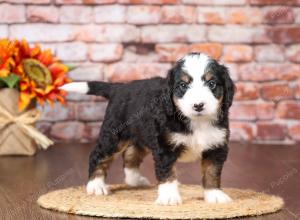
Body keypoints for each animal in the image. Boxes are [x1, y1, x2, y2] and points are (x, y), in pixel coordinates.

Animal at [60, 52, 234, 205]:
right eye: (183, 85)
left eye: (212, 84)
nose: (198, 105)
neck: (196, 122)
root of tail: (119, 88)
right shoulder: (165, 147)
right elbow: (167, 173)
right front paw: (169, 197)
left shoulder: (216, 146)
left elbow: (212, 172)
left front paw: (214, 194)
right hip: (114, 136)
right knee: (98, 155)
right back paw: (96, 185)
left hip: (142, 135)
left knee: (130, 156)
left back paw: (135, 180)